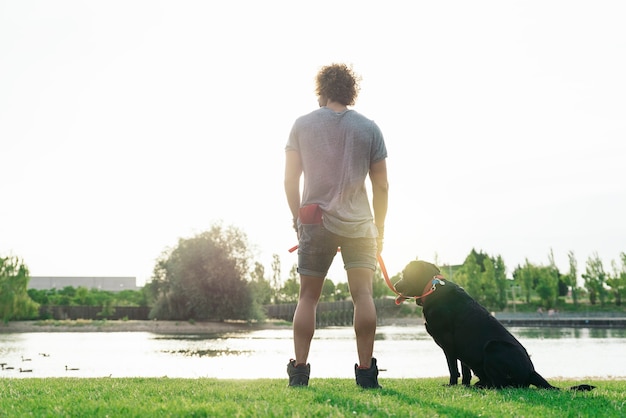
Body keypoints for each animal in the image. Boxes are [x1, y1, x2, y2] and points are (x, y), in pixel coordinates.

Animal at [392, 260, 592, 390]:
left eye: (404, 273)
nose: (396, 284)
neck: (431, 288)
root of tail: (531, 371)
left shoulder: (449, 344)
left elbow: (453, 369)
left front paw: (451, 385)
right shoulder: (462, 347)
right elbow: (465, 371)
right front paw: (464, 386)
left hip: (493, 347)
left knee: (502, 385)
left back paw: (481, 387)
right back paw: (478, 385)